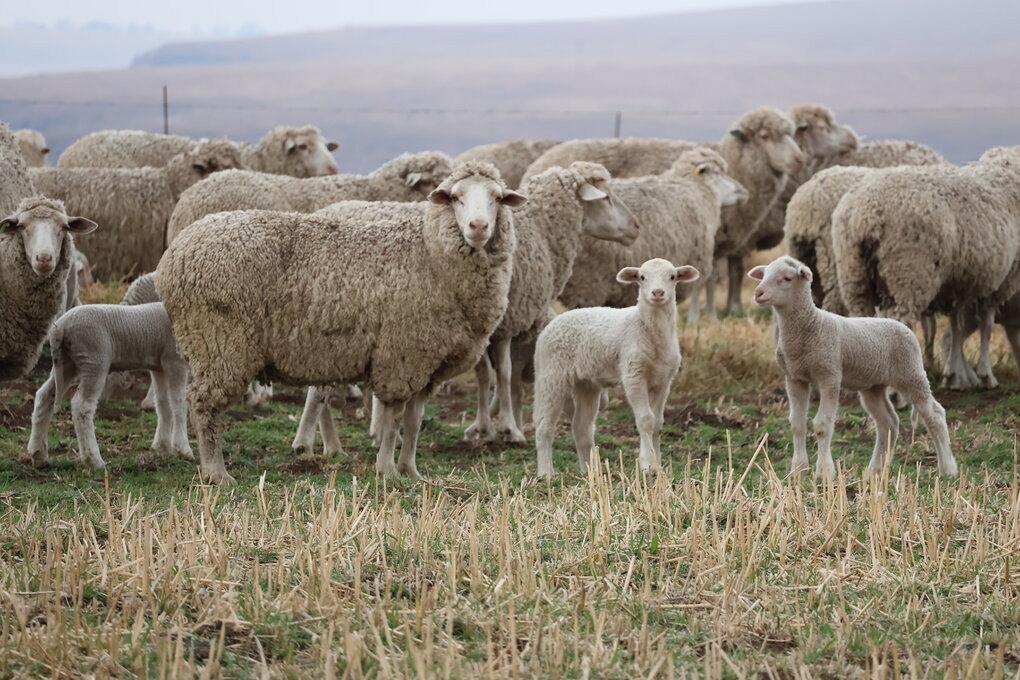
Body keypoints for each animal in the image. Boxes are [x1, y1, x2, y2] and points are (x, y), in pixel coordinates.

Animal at [26, 302, 193, 469]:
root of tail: (60, 327)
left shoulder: (159, 366)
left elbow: (163, 404)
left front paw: (163, 448)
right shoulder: (174, 360)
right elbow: (179, 403)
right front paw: (183, 449)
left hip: (66, 363)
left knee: (44, 396)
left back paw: (38, 454)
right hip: (94, 360)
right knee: (82, 406)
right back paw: (94, 460)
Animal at [156, 161, 525, 484]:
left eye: (497, 198)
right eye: (456, 197)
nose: (478, 228)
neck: (430, 253)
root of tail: (175, 254)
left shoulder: (428, 364)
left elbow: (414, 421)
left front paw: (411, 471)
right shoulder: (401, 356)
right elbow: (393, 418)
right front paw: (387, 470)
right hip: (219, 343)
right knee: (203, 404)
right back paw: (216, 473)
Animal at [533, 258, 700, 479]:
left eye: (672, 277)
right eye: (642, 277)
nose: (657, 293)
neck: (646, 328)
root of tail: (551, 324)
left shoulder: (663, 381)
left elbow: (657, 422)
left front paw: (657, 465)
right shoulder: (633, 374)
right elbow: (646, 420)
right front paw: (647, 465)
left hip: (586, 383)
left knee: (582, 427)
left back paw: (591, 472)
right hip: (551, 376)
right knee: (544, 426)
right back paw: (546, 473)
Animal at [748, 255, 958, 478]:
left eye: (787, 278)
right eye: (764, 275)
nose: (758, 293)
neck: (810, 325)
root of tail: (903, 326)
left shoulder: (830, 376)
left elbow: (823, 425)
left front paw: (824, 473)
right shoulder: (795, 378)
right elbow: (797, 424)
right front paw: (798, 470)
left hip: (911, 374)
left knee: (934, 414)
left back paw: (947, 468)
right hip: (874, 386)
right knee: (888, 423)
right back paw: (875, 470)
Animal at [831, 147, 1020, 391]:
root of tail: (866, 215)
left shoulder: (957, 282)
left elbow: (956, 327)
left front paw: (953, 376)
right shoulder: (1000, 281)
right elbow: (986, 327)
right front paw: (986, 376)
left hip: (854, 275)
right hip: (908, 273)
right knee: (902, 323)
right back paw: (895, 391)